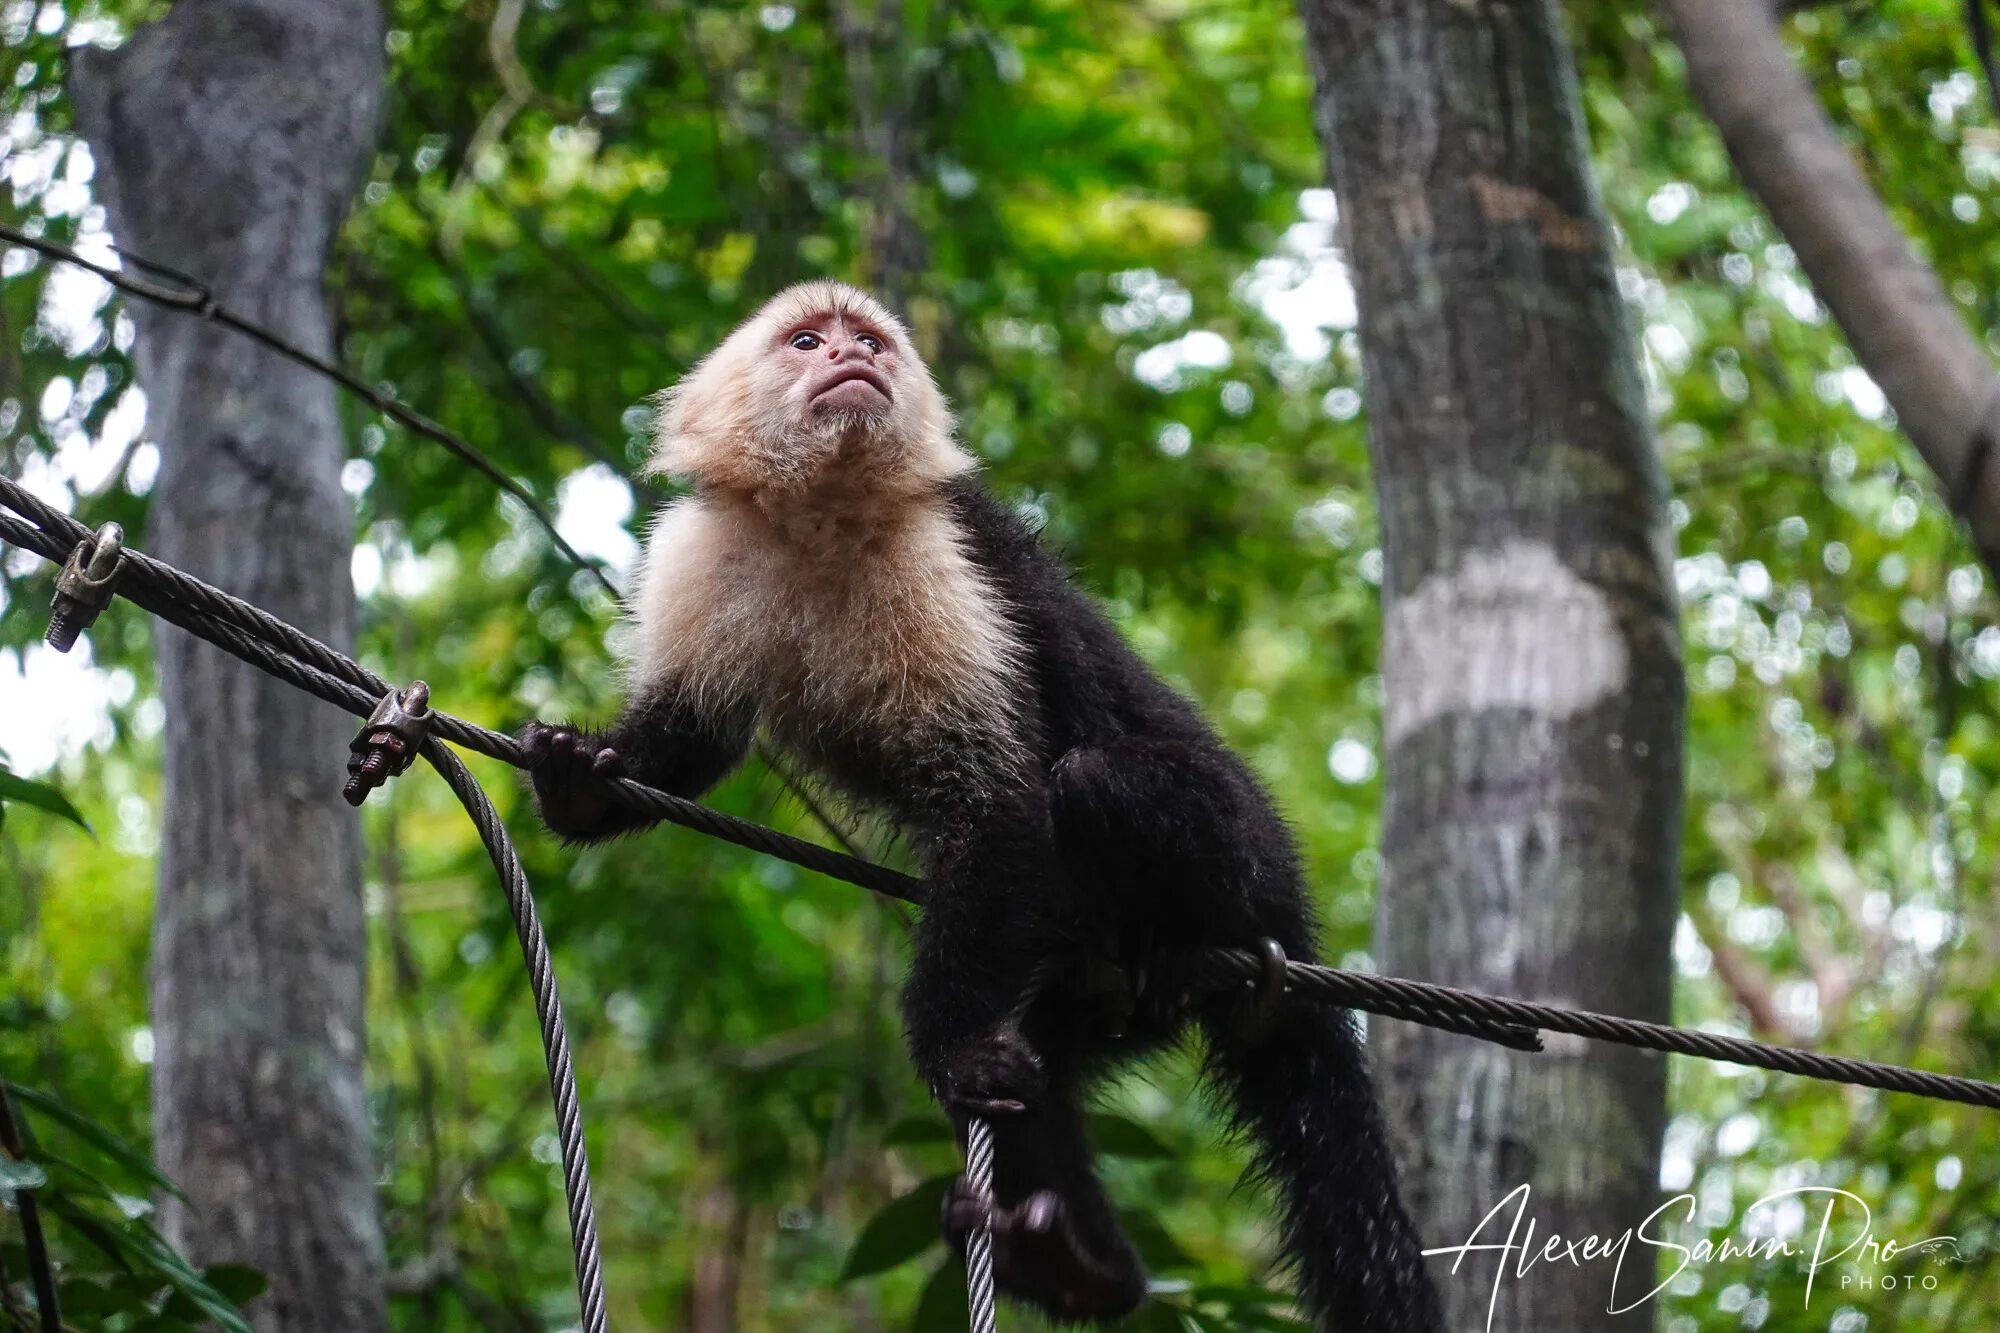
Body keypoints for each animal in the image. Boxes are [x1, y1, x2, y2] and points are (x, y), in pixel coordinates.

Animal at [524, 280, 1448, 1320]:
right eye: (805, 341)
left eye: (869, 339)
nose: (853, 356)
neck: (823, 513)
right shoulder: (707, 547)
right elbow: (692, 734)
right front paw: (582, 782)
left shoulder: (940, 557)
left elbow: (994, 802)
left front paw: (952, 1044)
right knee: (1045, 1065)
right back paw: (1086, 1265)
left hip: (1248, 850)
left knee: (1093, 786)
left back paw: (1162, 952)